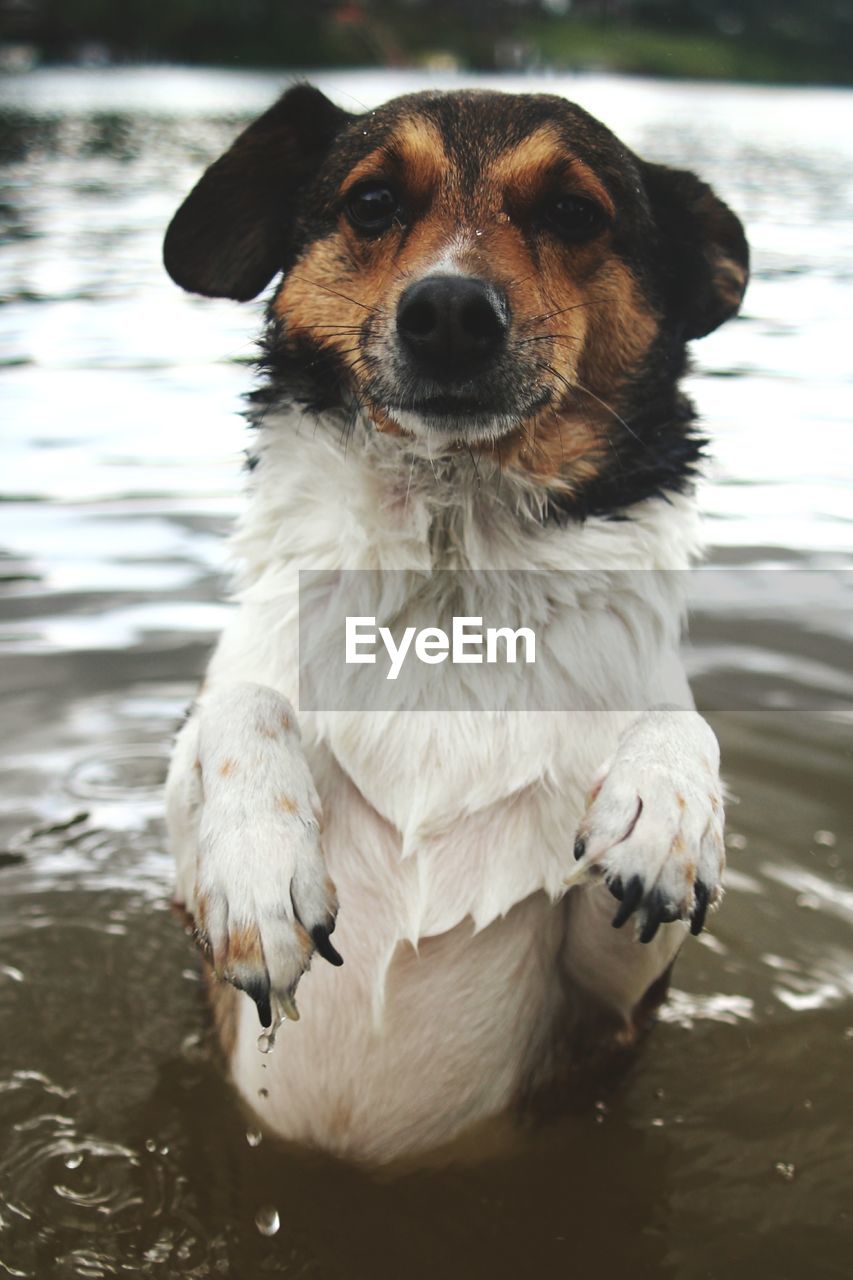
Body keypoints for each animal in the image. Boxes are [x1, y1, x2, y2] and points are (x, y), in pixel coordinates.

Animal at [159, 80, 742, 1162]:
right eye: (373, 201)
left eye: (573, 212)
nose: (450, 312)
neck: (450, 572)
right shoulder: (186, 915)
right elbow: (241, 706)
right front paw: (259, 862)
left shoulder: (611, 1005)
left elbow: (676, 718)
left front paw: (666, 804)